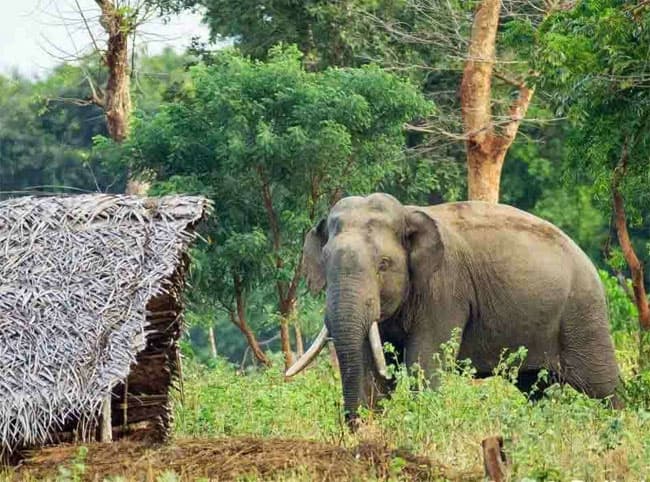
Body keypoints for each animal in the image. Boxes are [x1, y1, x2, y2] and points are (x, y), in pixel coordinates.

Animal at [285, 192, 621, 424]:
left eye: (384, 264)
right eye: (325, 260)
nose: (352, 425)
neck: (407, 213)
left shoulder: (445, 289)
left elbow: (423, 362)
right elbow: (372, 368)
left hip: (582, 313)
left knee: (603, 386)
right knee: (534, 388)